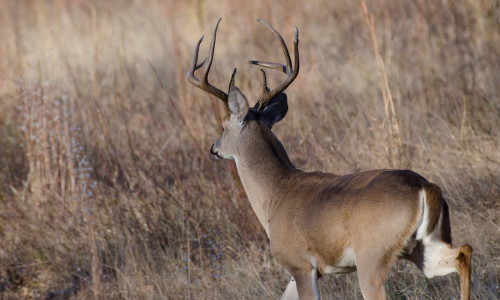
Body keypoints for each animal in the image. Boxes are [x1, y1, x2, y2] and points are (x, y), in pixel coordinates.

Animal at [188, 18, 472, 300]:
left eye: (223, 125)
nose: (213, 148)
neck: (276, 195)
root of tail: (424, 186)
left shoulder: (300, 264)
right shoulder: (299, 273)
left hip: (372, 256)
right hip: (424, 247)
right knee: (463, 253)